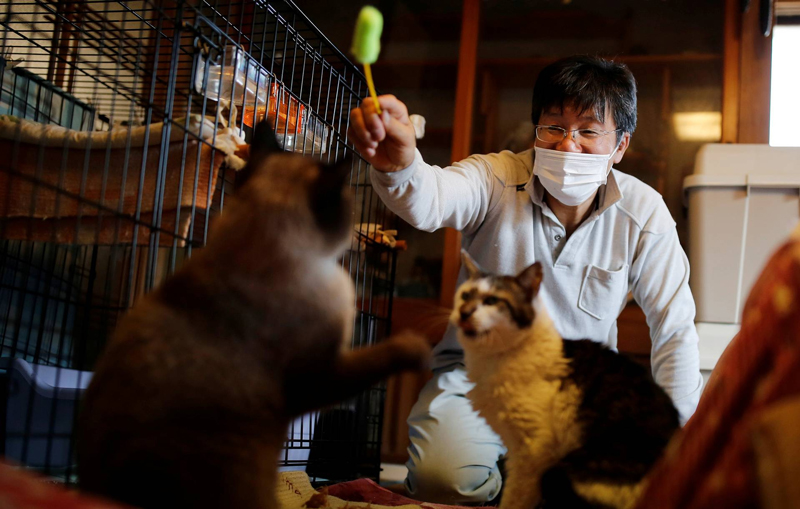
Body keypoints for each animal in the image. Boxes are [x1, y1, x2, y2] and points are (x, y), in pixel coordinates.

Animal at [451, 251, 679, 509]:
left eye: (491, 301)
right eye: (465, 295)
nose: (464, 311)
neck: (492, 359)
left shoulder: (533, 451)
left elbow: (514, 498)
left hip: (565, 472)